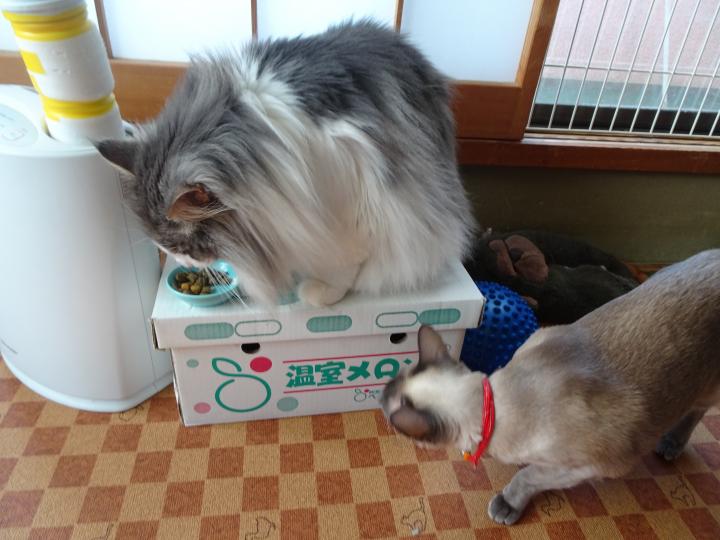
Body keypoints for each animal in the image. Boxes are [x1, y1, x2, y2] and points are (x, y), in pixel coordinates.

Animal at [95, 20, 475, 307]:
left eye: (186, 247)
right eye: (168, 249)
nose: (183, 261)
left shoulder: (351, 194)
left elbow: (346, 258)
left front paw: (323, 292)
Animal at [381, 249, 720, 525]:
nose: (380, 395)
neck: (496, 406)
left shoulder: (588, 466)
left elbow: (528, 476)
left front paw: (508, 503)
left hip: (708, 389)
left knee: (696, 410)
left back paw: (671, 443)